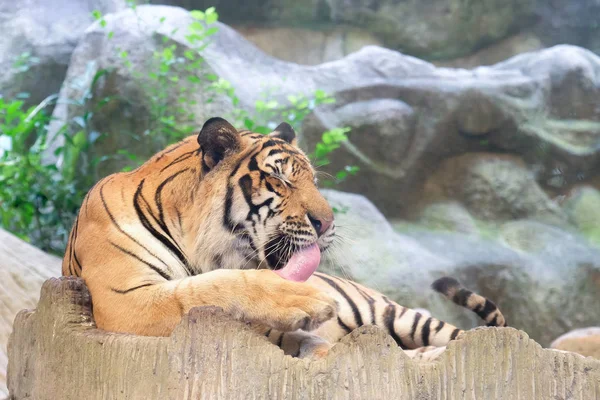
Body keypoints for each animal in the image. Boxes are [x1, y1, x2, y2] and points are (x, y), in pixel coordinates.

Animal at [62, 115, 506, 360]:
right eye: (280, 180)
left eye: (313, 180)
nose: (327, 223)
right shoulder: (125, 298)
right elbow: (206, 288)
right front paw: (301, 301)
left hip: (402, 316)